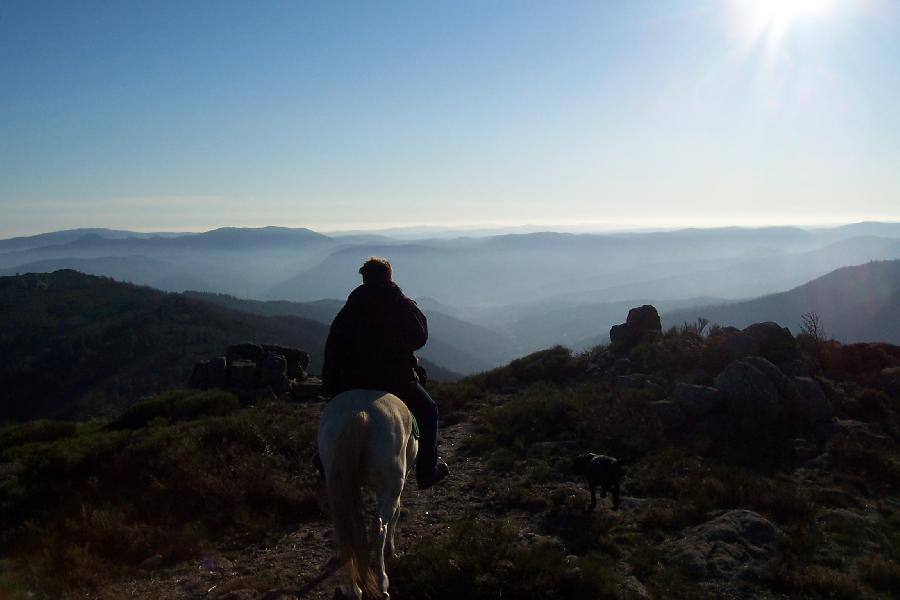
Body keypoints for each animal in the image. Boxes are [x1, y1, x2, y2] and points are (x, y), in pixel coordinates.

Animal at [316, 390, 418, 600]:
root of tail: (357, 413)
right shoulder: (393, 488)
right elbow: (396, 513)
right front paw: (391, 552)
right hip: (392, 485)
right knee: (379, 528)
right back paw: (382, 584)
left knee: (344, 530)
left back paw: (354, 590)